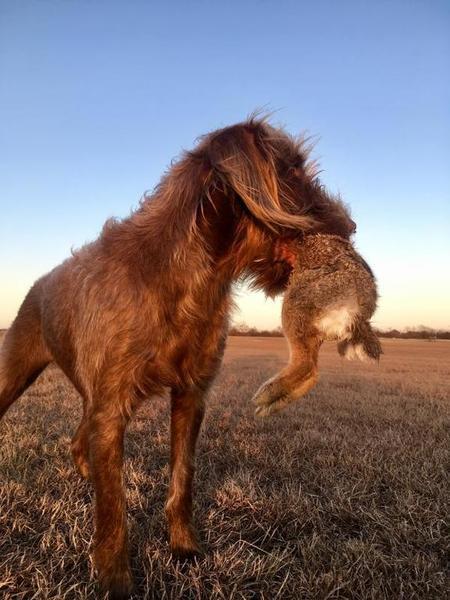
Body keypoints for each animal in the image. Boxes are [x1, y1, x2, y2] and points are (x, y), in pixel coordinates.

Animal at [0, 116, 356, 596]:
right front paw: (115, 578)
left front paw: (184, 545)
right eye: (292, 169)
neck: (188, 275)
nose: (351, 226)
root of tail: (38, 284)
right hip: (16, 374)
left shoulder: (190, 395)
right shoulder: (111, 407)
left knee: (79, 438)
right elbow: (113, 509)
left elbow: (182, 476)